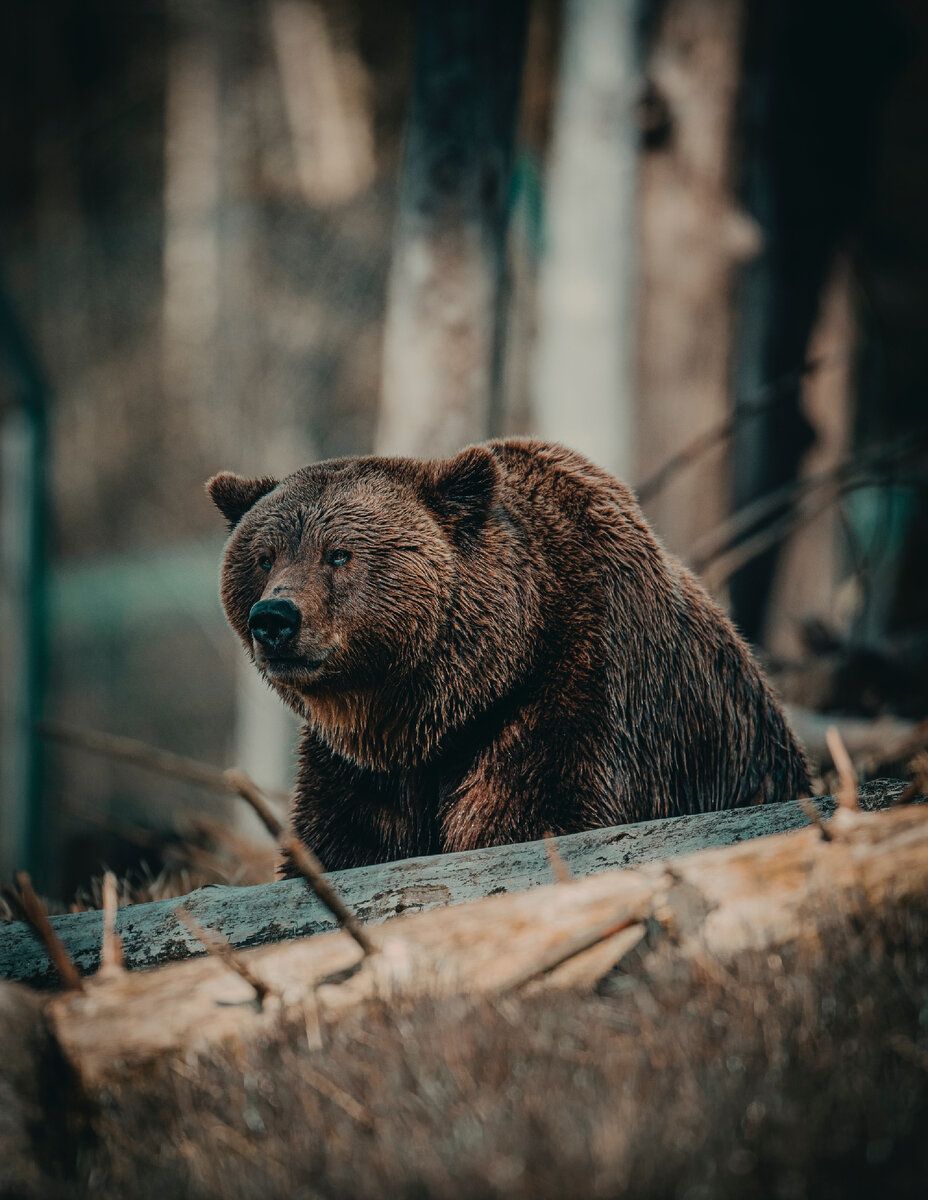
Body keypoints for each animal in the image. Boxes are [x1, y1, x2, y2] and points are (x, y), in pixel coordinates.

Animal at [208, 439, 810, 871]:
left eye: (339, 554)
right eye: (264, 556)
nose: (274, 619)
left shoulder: (578, 693)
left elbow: (534, 815)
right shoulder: (361, 770)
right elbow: (341, 842)